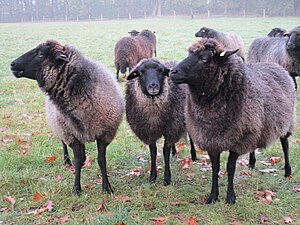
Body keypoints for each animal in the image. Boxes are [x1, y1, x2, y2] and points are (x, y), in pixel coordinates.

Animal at [10, 39, 123, 194]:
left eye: (40, 55)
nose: (12, 64)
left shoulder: (104, 134)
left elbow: (101, 160)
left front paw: (107, 187)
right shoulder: (71, 134)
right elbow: (77, 160)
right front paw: (76, 189)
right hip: (62, 127)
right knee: (64, 143)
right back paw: (66, 161)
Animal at [125, 57, 196, 185]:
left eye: (161, 71)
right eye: (141, 73)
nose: (153, 86)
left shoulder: (171, 128)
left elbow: (165, 151)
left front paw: (167, 178)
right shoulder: (149, 131)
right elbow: (153, 151)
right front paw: (152, 177)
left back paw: (193, 155)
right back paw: (174, 152)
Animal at [170, 38, 296, 204]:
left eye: (204, 59)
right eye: (189, 53)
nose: (172, 72)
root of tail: (277, 66)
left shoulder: (238, 140)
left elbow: (230, 168)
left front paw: (230, 197)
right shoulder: (211, 138)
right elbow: (215, 167)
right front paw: (213, 196)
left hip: (286, 121)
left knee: (285, 144)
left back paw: (288, 171)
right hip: (254, 126)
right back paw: (251, 163)